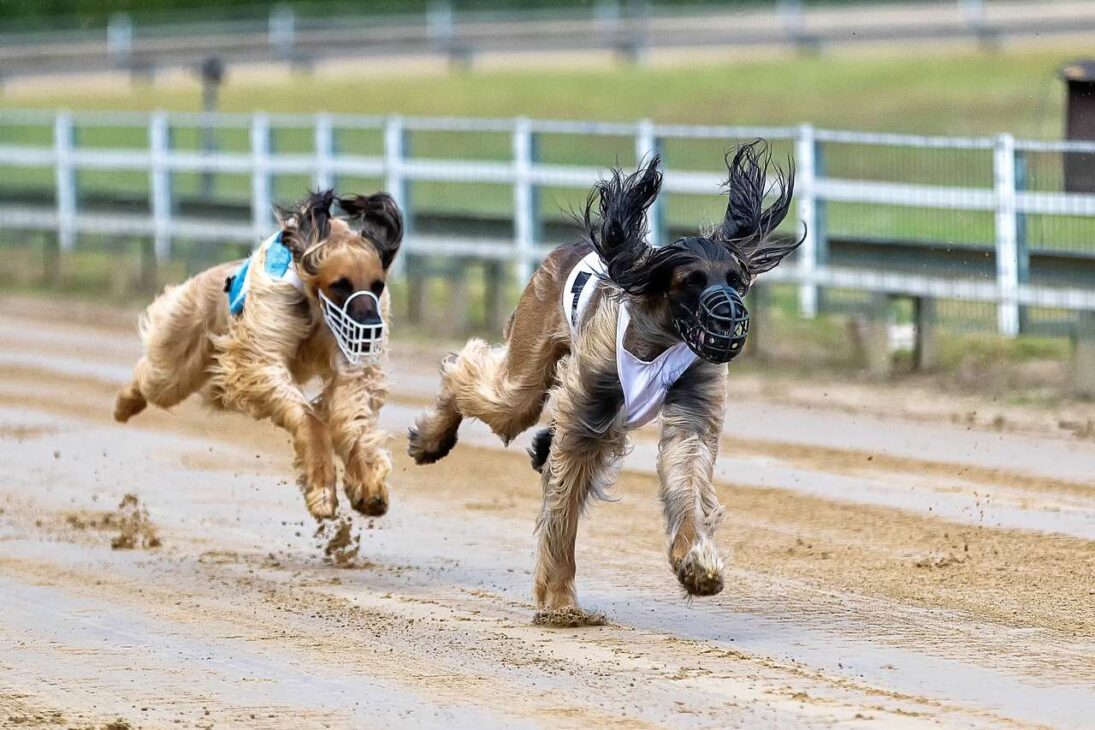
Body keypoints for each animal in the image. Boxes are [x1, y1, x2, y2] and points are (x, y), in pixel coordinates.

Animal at [114, 188, 402, 518]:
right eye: (339, 285)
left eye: (377, 285)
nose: (371, 332)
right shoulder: (261, 353)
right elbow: (309, 417)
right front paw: (322, 489)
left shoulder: (347, 358)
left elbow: (352, 412)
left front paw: (367, 485)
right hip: (180, 348)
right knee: (154, 380)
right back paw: (123, 405)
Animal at [407, 141, 801, 612]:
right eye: (691, 280)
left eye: (737, 279)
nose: (731, 319)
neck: (658, 338)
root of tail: (567, 247)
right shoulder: (589, 410)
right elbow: (563, 508)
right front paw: (560, 600)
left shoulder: (692, 406)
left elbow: (685, 470)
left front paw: (697, 564)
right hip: (528, 362)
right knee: (473, 376)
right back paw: (431, 440)